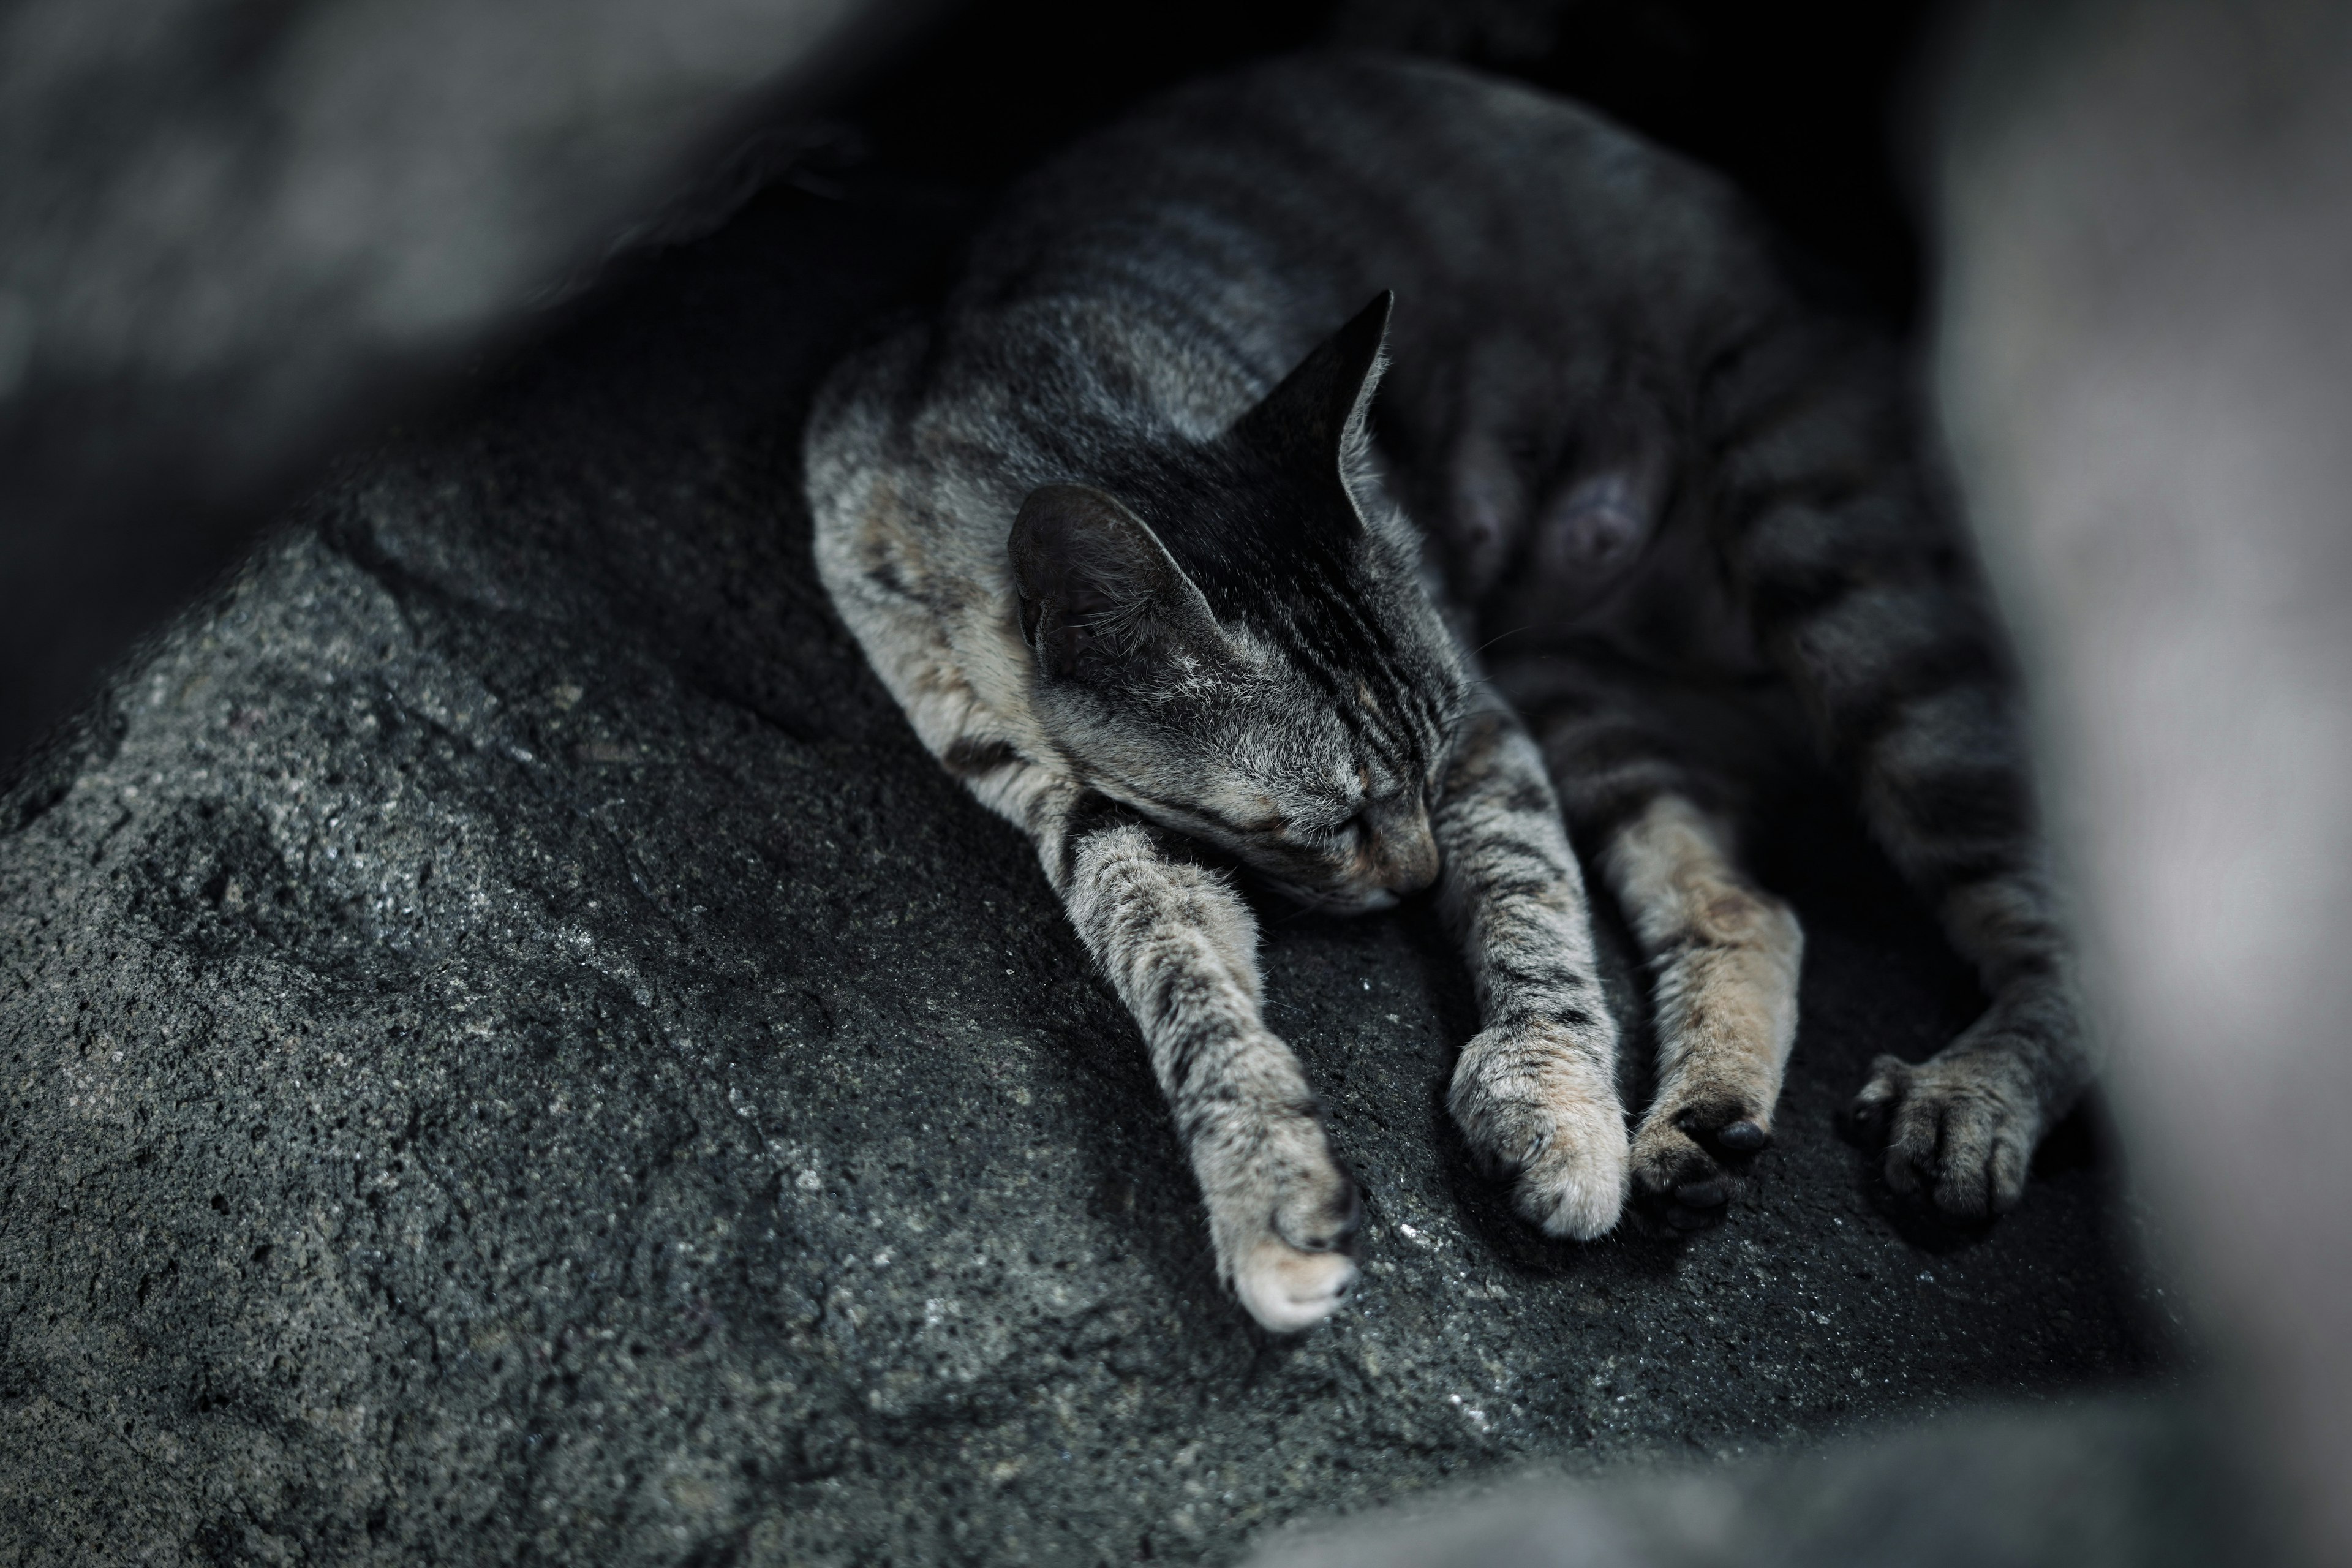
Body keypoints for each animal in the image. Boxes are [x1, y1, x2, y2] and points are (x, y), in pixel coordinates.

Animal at [799, 49, 2088, 1335]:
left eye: (1424, 763)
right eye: (1325, 821)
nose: (1420, 880)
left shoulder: (1489, 737)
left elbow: (1531, 902)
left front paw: (1552, 1101)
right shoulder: (1093, 818)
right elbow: (1186, 985)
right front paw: (1267, 1187)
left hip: (1852, 596)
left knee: (2063, 939)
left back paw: (1967, 1104)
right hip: (1597, 702)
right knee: (1748, 906)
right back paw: (1701, 1124)